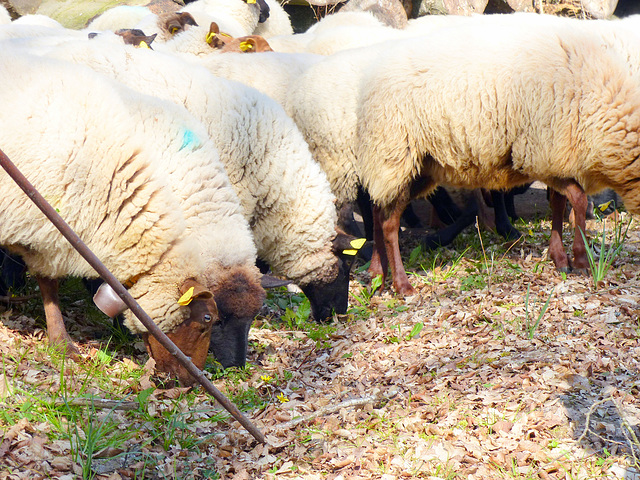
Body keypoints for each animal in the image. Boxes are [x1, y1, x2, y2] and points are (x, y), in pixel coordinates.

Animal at [358, 22, 640, 296]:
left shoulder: (556, 159)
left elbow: (560, 203)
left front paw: (560, 258)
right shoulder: (541, 154)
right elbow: (578, 200)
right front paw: (581, 260)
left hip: (415, 167)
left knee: (377, 210)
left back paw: (377, 275)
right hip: (397, 155)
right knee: (389, 224)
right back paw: (401, 284)